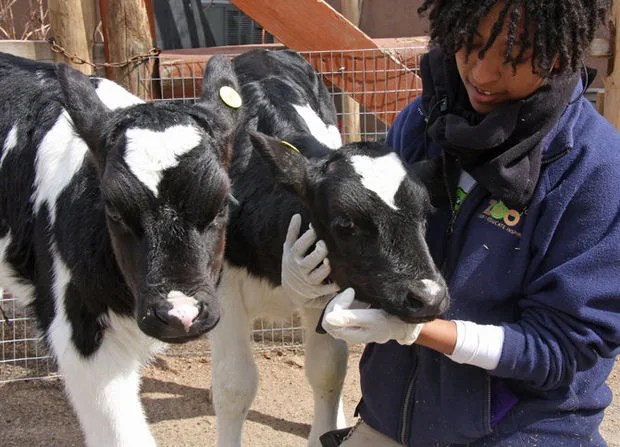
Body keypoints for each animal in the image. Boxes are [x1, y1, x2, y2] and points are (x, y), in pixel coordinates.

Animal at [209, 49, 450, 447]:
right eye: (345, 224)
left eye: (425, 215)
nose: (428, 297)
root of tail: (261, 51)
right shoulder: (223, 288)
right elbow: (234, 385)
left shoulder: (322, 287)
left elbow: (328, 369)